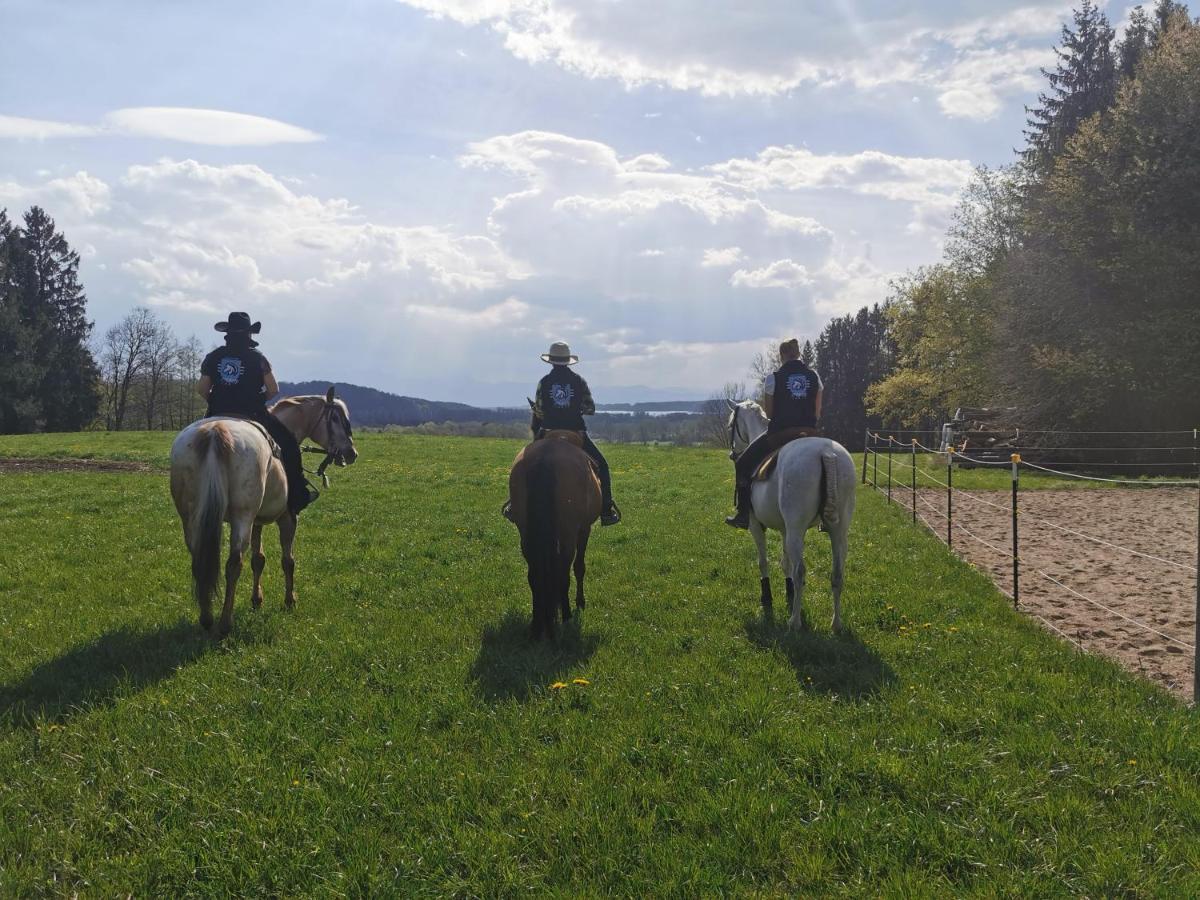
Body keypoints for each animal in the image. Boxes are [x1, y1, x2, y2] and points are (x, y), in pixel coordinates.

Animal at [169, 391, 355, 638]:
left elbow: (258, 559)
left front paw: (257, 600)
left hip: (192, 518)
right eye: (336, 418)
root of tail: (215, 432)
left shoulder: (256, 522)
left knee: (200, 560)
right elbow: (288, 560)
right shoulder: (288, 518)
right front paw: (290, 601)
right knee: (234, 564)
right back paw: (225, 623)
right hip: (242, 517)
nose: (351, 453)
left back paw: (207, 618)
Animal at [508, 420, 604, 643]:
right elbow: (579, 566)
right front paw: (580, 602)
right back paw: (566, 617)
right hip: (569, 531)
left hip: (526, 532)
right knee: (563, 570)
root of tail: (545, 458)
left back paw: (537, 625)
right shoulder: (584, 528)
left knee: (534, 572)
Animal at [724, 400, 859, 633]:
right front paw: (788, 595)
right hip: (839, 531)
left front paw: (767, 598)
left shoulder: (755, 525)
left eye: (732, 424)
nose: (733, 454)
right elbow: (785, 562)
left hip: (798, 530)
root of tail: (827, 453)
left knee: (800, 573)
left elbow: (764, 562)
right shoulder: (784, 529)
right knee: (837, 574)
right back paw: (836, 624)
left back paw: (794, 622)